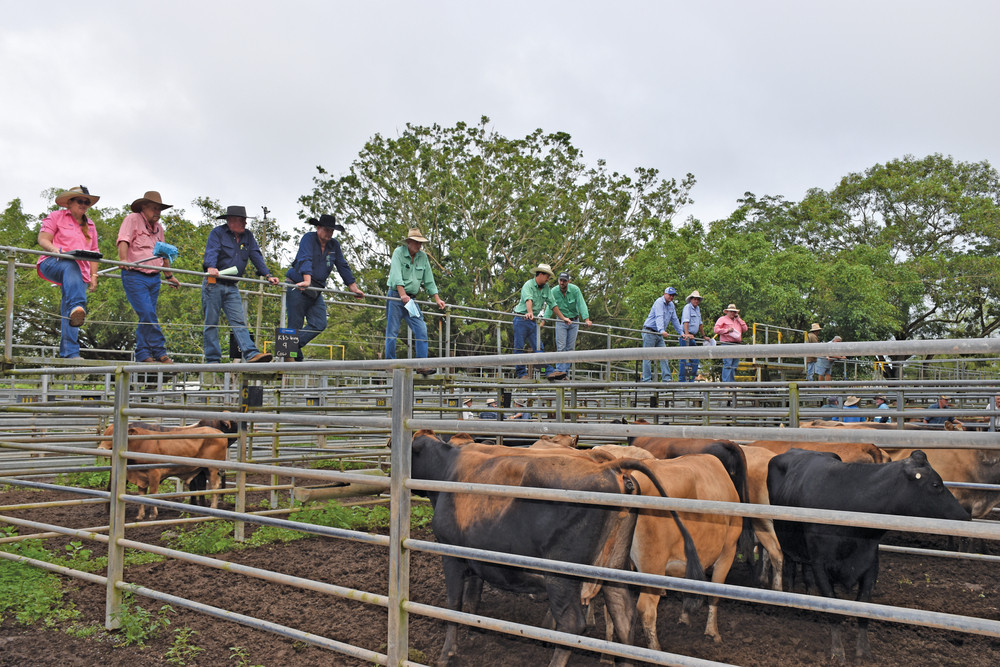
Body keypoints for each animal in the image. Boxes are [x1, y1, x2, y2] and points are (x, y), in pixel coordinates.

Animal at [99, 422, 229, 520]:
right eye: (104, 434)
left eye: (113, 436)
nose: (101, 448)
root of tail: (218, 432)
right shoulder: (141, 477)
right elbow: (141, 495)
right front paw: (140, 515)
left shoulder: (154, 474)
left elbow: (152, 493)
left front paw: (153, 514)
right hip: (205, 469)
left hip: (212, 468)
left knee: (214, 485)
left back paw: (213, 507)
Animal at [410, 430, 708, 664]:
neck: (448, 467)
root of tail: (609, 467)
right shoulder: (475, 556)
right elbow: (471, 600)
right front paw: (474, 630)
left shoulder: (451, 552)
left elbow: (453, 604)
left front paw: (447, 653)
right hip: (613, 567)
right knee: (624, 617)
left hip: (561, 575)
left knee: (572, 623)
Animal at [764, 448, 968, 664]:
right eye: (936, 484)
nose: (965, 516)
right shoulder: (821, 565)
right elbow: (833, 606)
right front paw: (838, 652)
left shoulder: (870, 564)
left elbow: (863, 606)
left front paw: (863, 649)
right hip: (786, 541)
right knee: (791, 569)